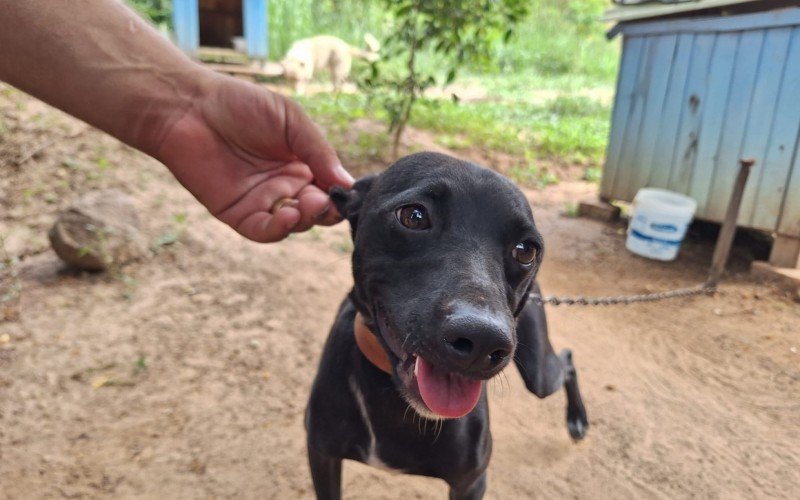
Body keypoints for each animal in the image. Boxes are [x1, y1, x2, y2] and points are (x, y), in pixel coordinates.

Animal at [306, 153, 588, 500]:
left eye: (526, 250)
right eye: (414, 216)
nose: (482, 341)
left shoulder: (471, 482)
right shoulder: (321, 456)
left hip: (538, 373)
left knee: (567, 360)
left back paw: (577, 419)